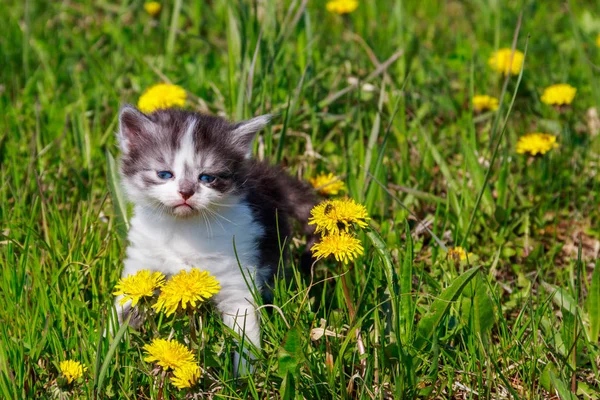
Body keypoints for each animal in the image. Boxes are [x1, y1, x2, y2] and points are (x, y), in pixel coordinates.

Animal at [114, 104, 316, 374]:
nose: (186, 191)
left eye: (206, 177)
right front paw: (105, 348)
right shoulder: (142, 260)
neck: (183, 229)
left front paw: (245, 374)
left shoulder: (236, 272)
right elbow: (126, 302)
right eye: (165, 174)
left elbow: (245, 328)